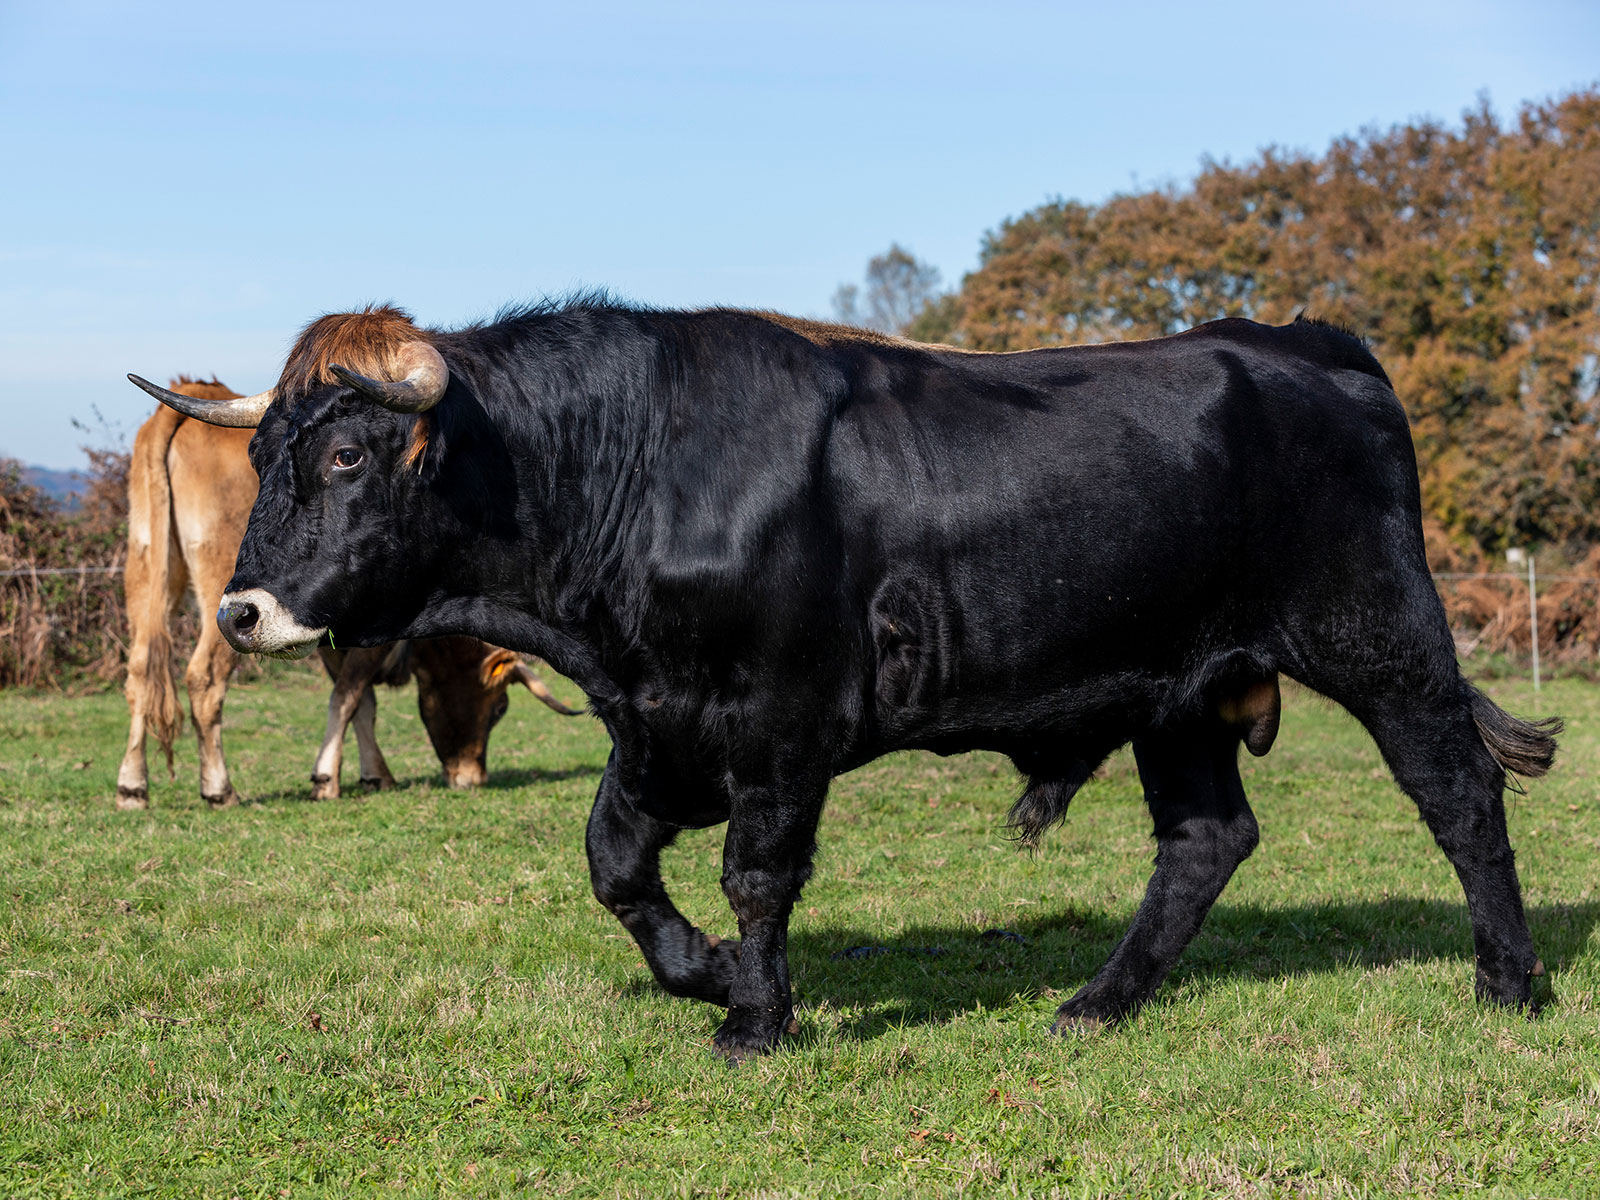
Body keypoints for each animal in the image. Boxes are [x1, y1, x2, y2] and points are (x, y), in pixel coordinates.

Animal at [116, 378, 576, 810]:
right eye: (500, 708)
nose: (472, 777)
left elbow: (360, 702)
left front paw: (373, 773)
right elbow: (350, 694)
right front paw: (327, 777)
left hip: (147, 576)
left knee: (139, 670)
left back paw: (132, 786)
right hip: (231, 605)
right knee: (203, 678)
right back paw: (218, 787)